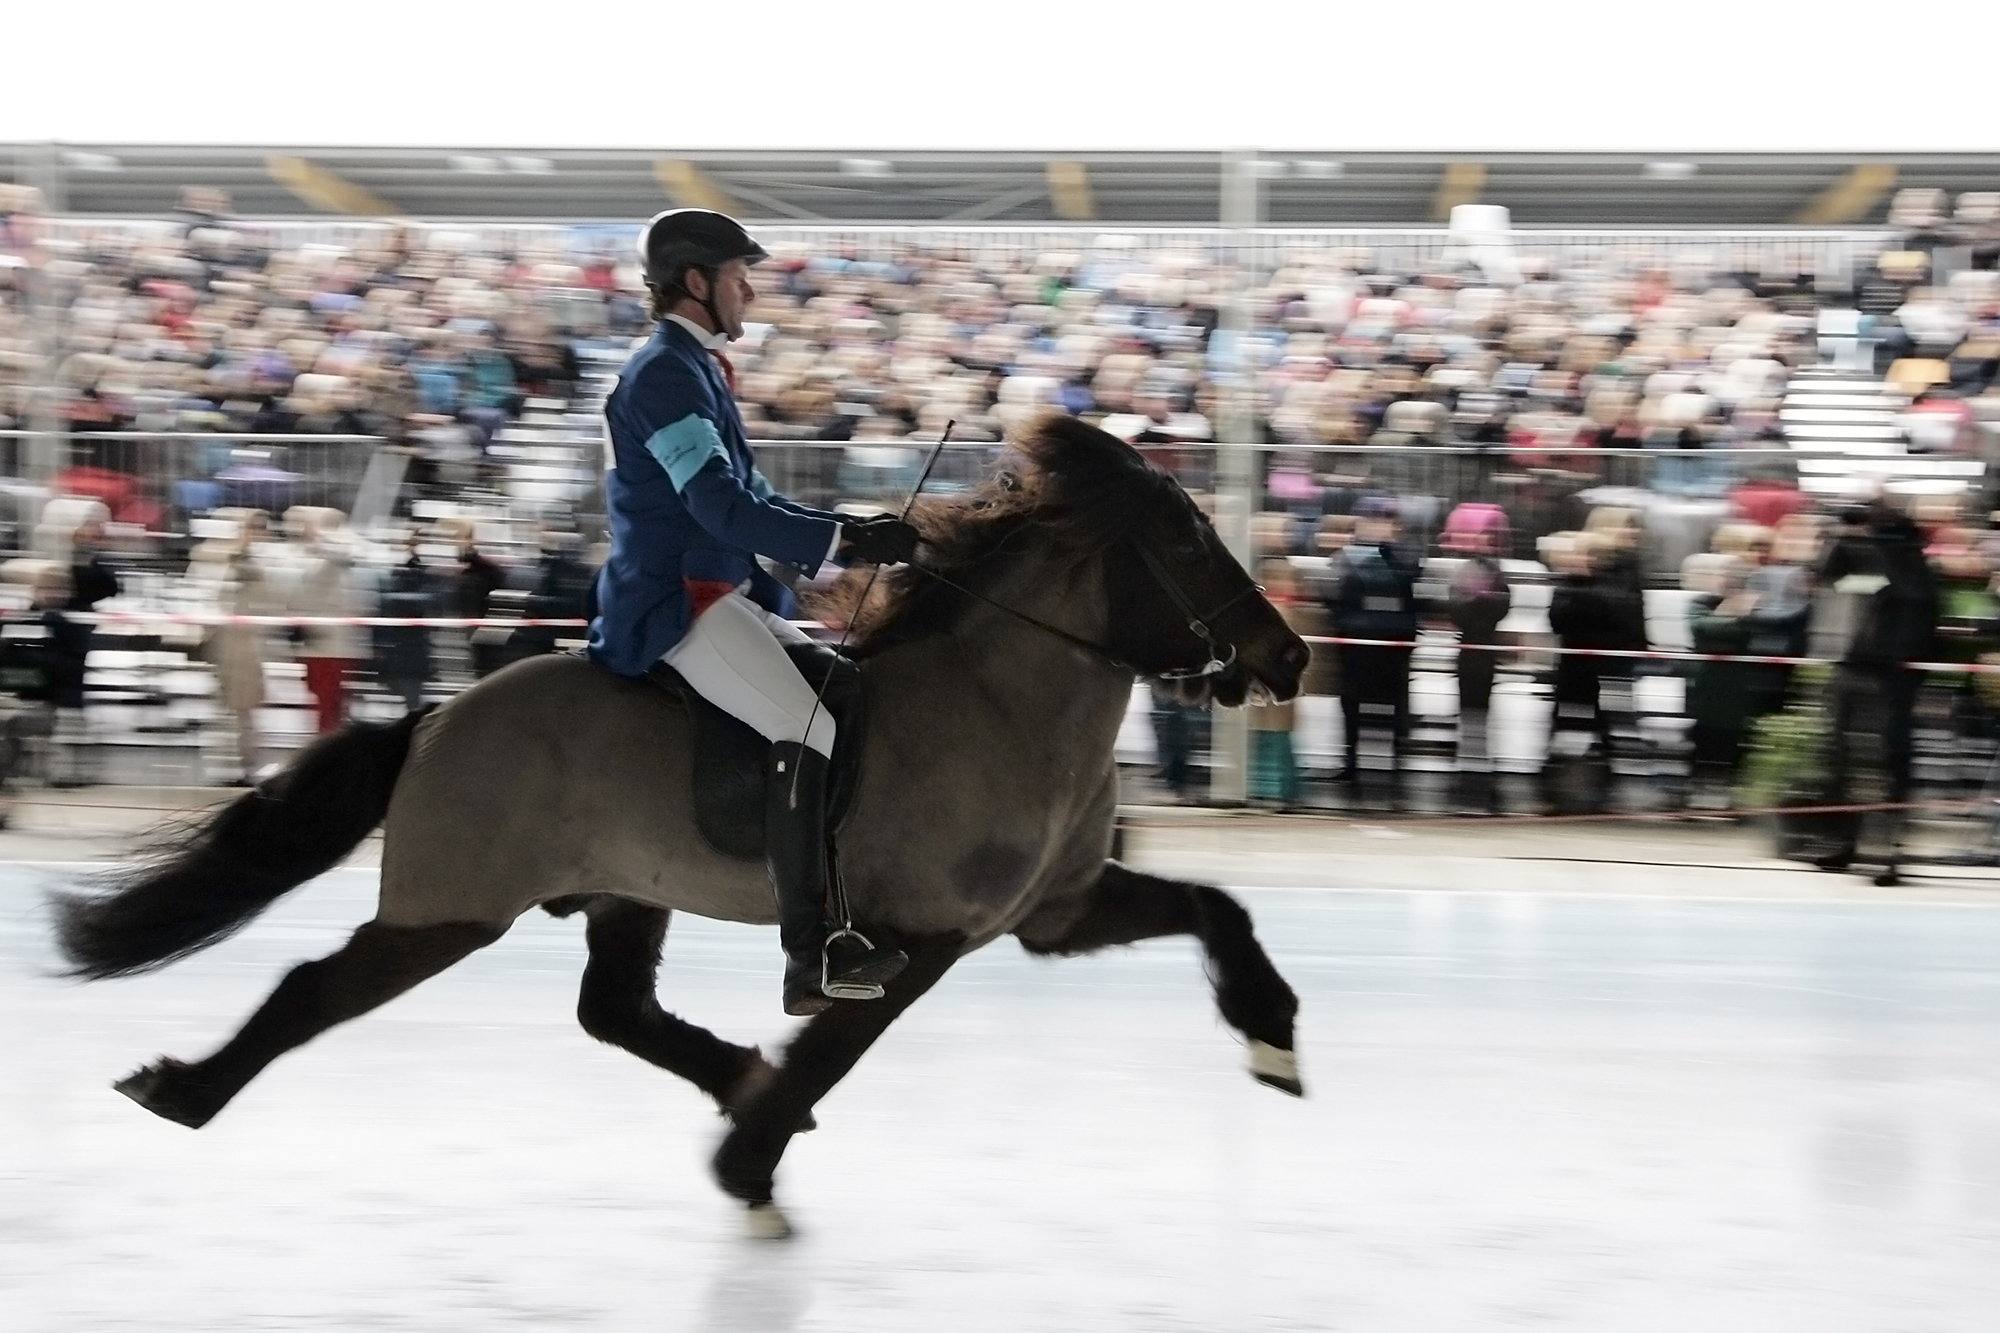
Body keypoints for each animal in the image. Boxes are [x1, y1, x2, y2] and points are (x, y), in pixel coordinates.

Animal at [50, 414, 1312, 1238]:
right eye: (1187, 541)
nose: (1289, 656)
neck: (999, 701)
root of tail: (440, 714)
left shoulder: (1053, 912)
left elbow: (1216, 909)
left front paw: (1271, 1034)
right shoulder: (916, 942)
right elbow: (833, 1048)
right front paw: (747, 1168)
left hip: (624, 892)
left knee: (613, 1009)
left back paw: (730, 1071)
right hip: (446, 913)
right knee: (314, 989)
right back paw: (186, 1090)